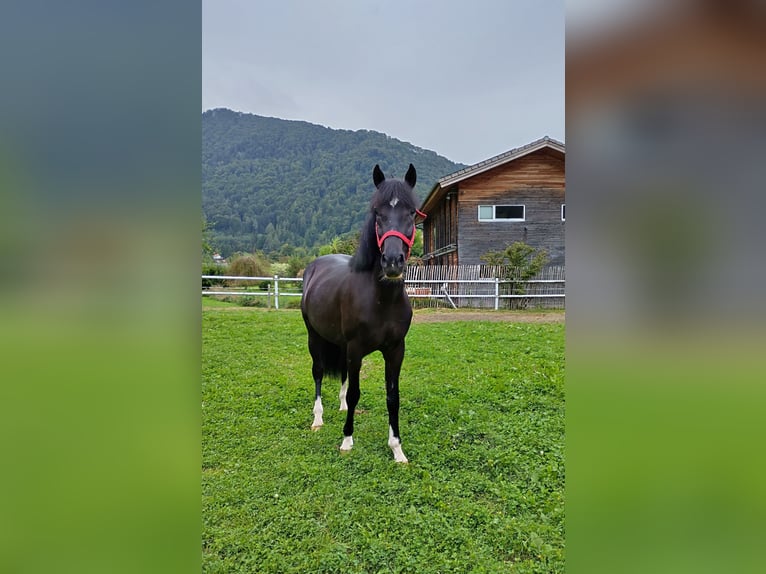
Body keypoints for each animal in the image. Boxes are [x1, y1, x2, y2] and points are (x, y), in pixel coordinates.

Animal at [302, 164, 426, 466]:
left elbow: (392, 396)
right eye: (377, 213)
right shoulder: (356, 348)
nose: (392, 262)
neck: (381, 300)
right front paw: (347, 440)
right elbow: (357, 392)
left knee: (344, 375)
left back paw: (340, 405)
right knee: (318, 372)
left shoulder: (395, 350)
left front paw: (397, 449)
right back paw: (318, 418)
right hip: (315, 337)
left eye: (411, 213)